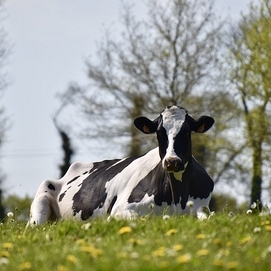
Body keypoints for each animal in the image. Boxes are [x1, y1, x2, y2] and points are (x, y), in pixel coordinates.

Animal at [27, 105, 215, 226]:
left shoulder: (202, 207)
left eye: (187, 131)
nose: (172, 161)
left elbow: (208, 218)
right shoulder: (120, 210)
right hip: (40, 203)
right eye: (159, 133)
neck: (177, 197)